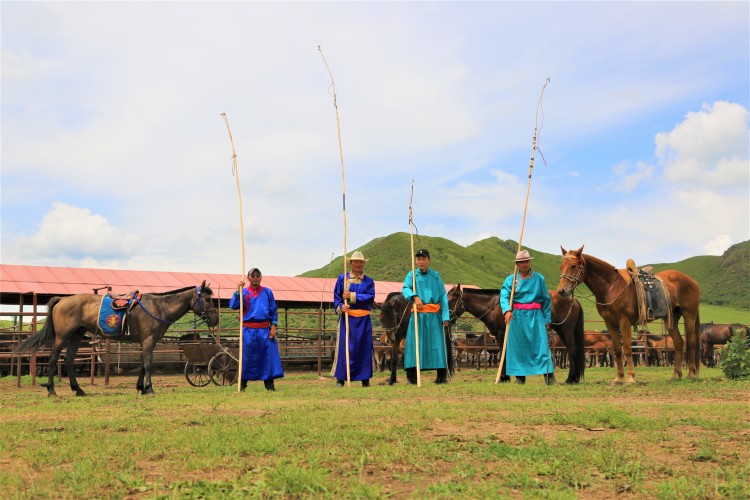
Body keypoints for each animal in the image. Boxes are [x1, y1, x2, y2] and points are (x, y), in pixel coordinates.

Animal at [17, 284, 219, 396]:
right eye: (207, 299)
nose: (215, 319)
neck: (158, 307)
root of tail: (62, 300)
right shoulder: (149, 341)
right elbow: (148, 364)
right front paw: (149, 388)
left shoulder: (144, 342)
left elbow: (142, 364)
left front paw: (141, 388)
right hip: (63, 336)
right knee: (53, 359)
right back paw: (51, 390)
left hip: (76, 335)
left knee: (68, 359)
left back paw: (79, 390)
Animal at [446, 286, 588, 382]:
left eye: (450, 300)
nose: (447, 319)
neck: (494, 306)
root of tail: (573, 301)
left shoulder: (501, 334)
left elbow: (503, 353)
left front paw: (503, 377)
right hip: (561, 331)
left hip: (566, 330)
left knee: (572, 350)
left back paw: (571, 378)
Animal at [556, 246, 704, 382]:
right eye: (561, 266)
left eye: (573, 266)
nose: (562, 291)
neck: (612, 286)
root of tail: (692, 281)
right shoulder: (610, 323)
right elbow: (617, 350)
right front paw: (619, 378)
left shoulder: (624, 322)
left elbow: (627, 348)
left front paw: (631, 377)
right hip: (671, 318)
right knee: (678, 342)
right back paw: (675, 375)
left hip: (689, 316)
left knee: (691, 342)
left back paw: (691, 374)